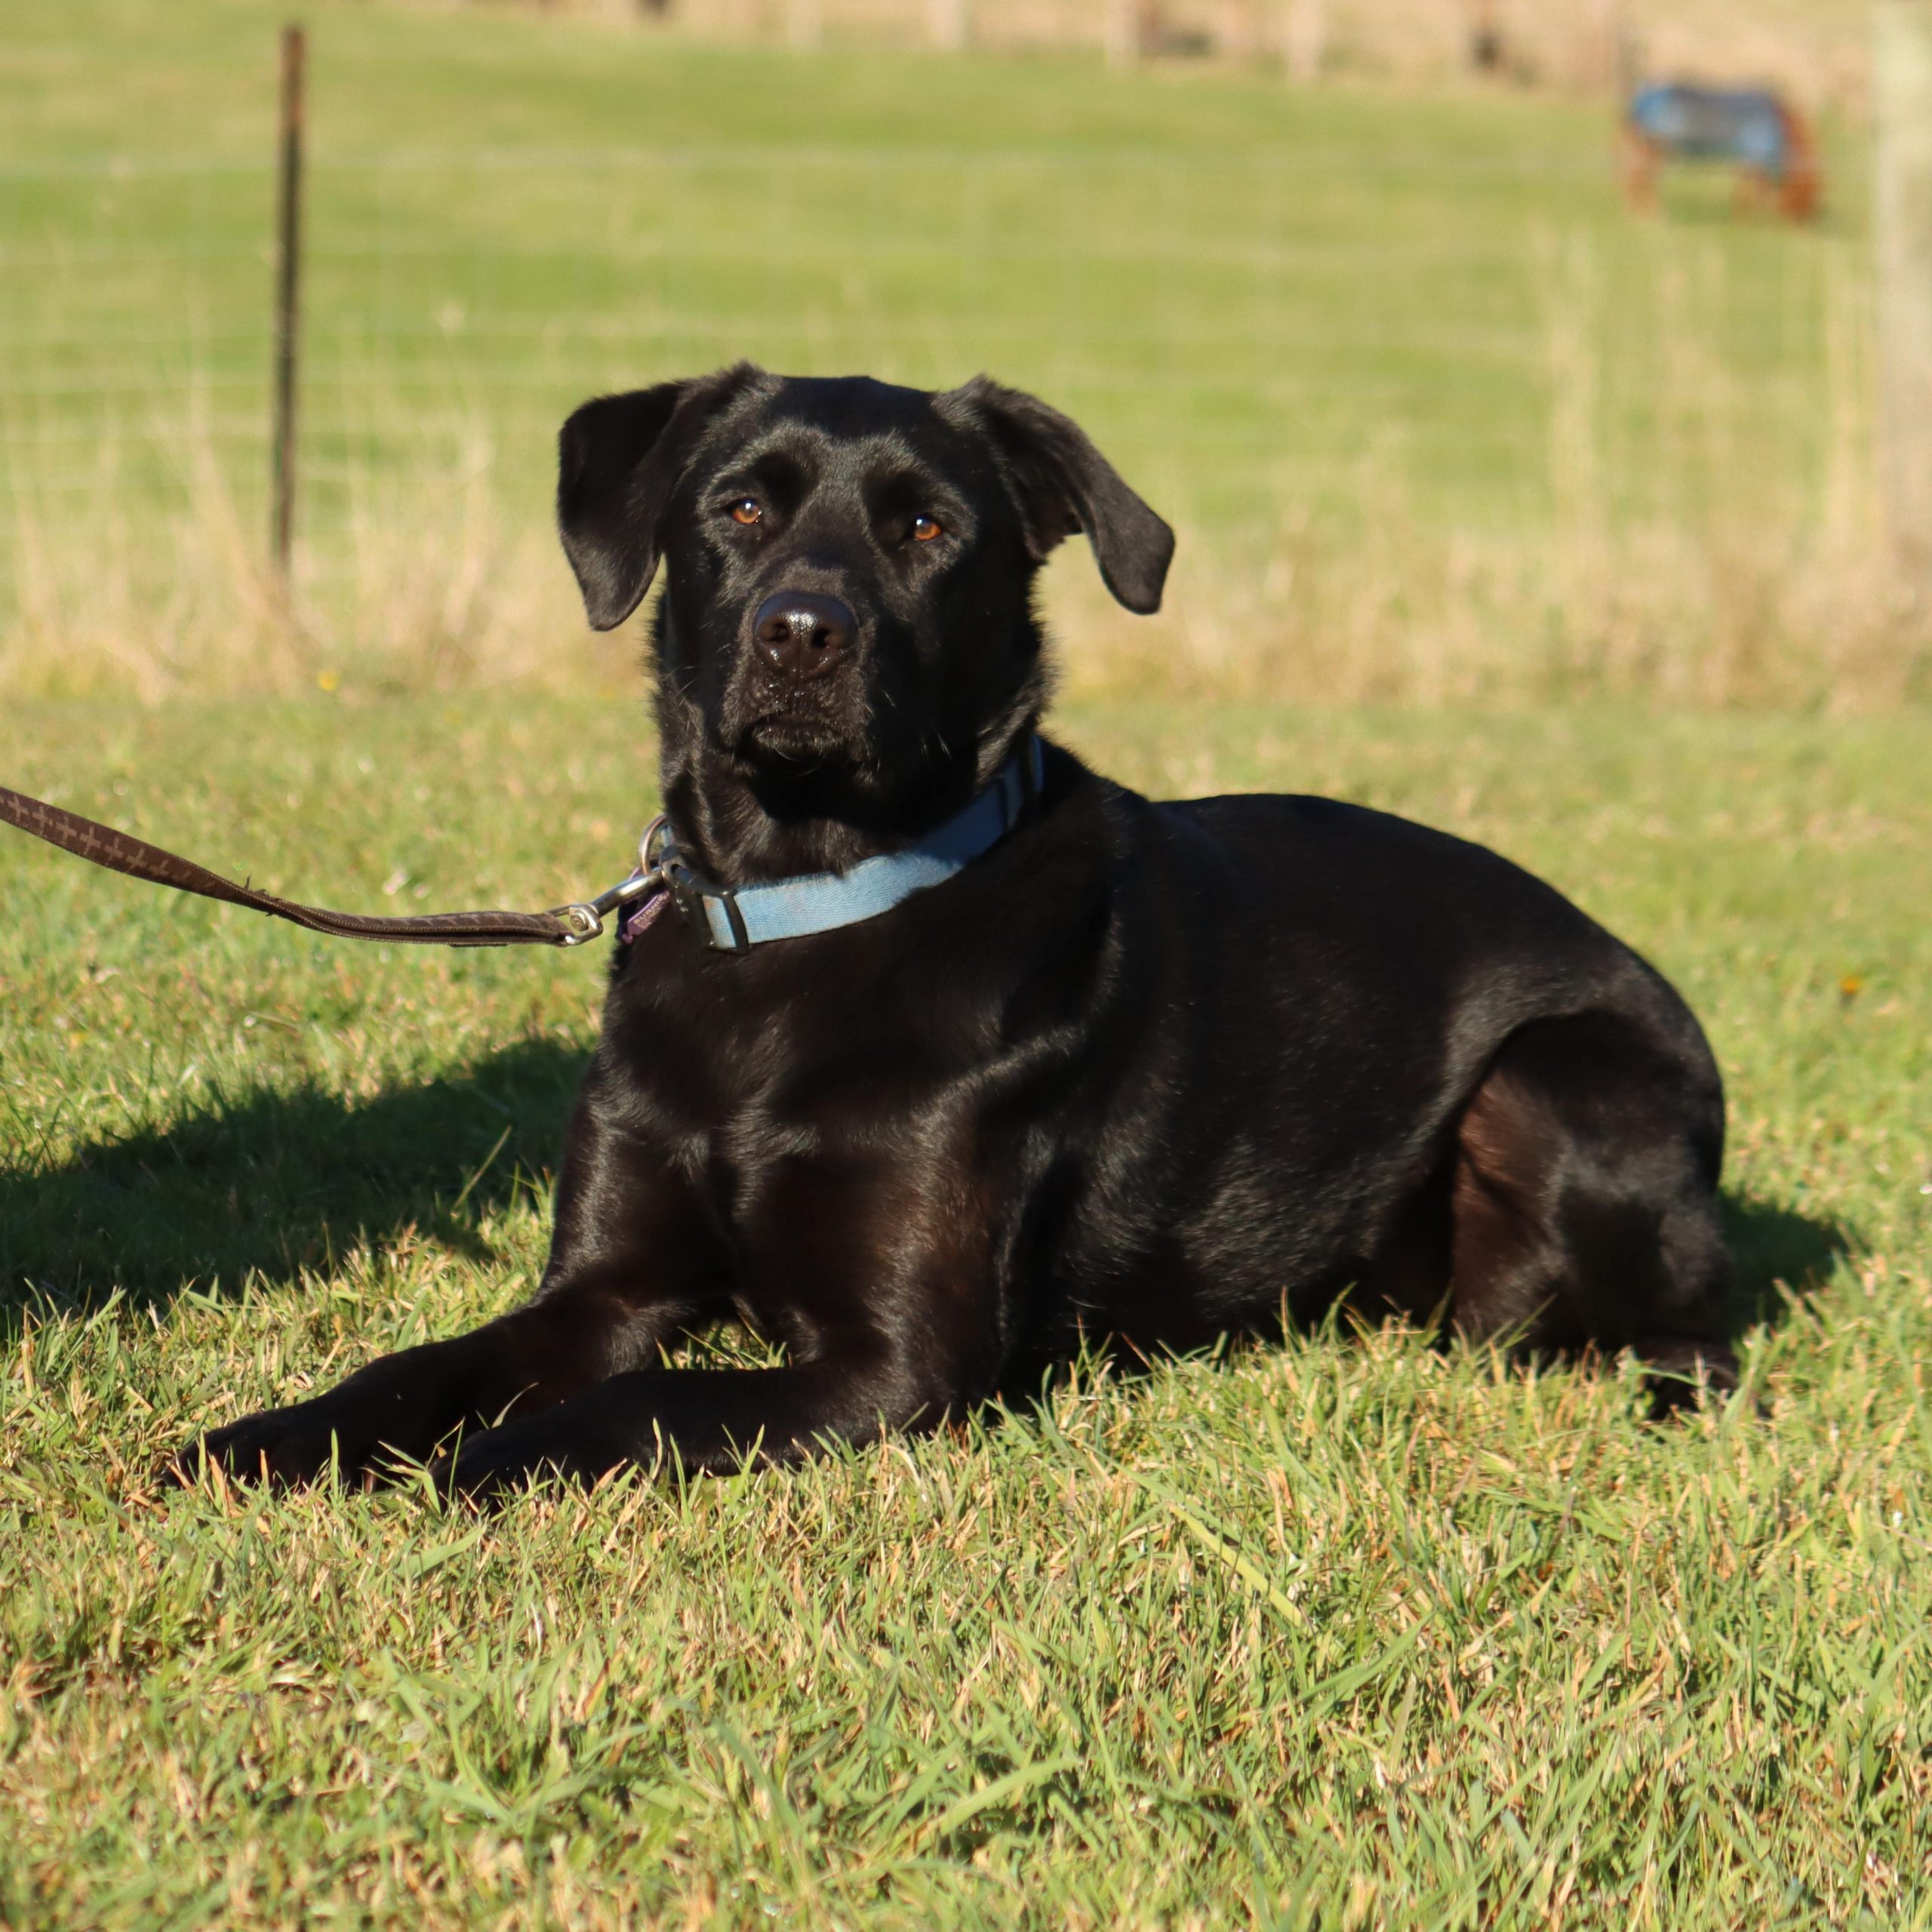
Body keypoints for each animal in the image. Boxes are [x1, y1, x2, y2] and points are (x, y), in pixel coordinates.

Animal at [184, 368, 1739, 1499]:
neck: (805, 901)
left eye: (928, 530)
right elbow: (426, 1367)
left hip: (1554, 1089)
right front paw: (273, 1438)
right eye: (738, 511)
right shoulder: (605, 1286)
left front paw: (485, 1463)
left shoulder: (895, 1365)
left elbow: (637, 1405)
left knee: (1697, 1337)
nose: (804, 635)